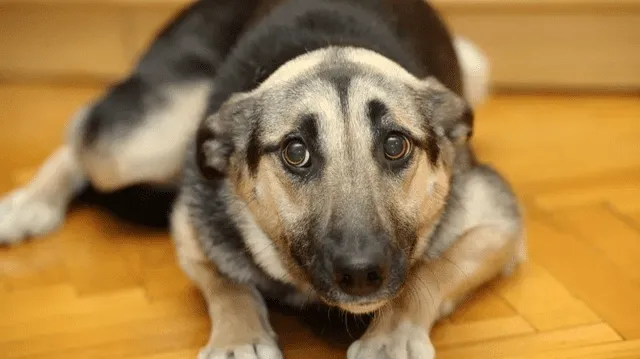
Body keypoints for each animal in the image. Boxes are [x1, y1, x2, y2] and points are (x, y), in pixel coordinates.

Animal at [0, 0, 524, 359]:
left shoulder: (500, 224)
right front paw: (240, 336)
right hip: (140, 140)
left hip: (474, 65)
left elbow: (430, 271)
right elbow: (226, 280)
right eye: (296, 152)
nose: (361, 273)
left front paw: (392, 333)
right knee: (81, 132)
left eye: (396, 145)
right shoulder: (190, 225)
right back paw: (30, 203)